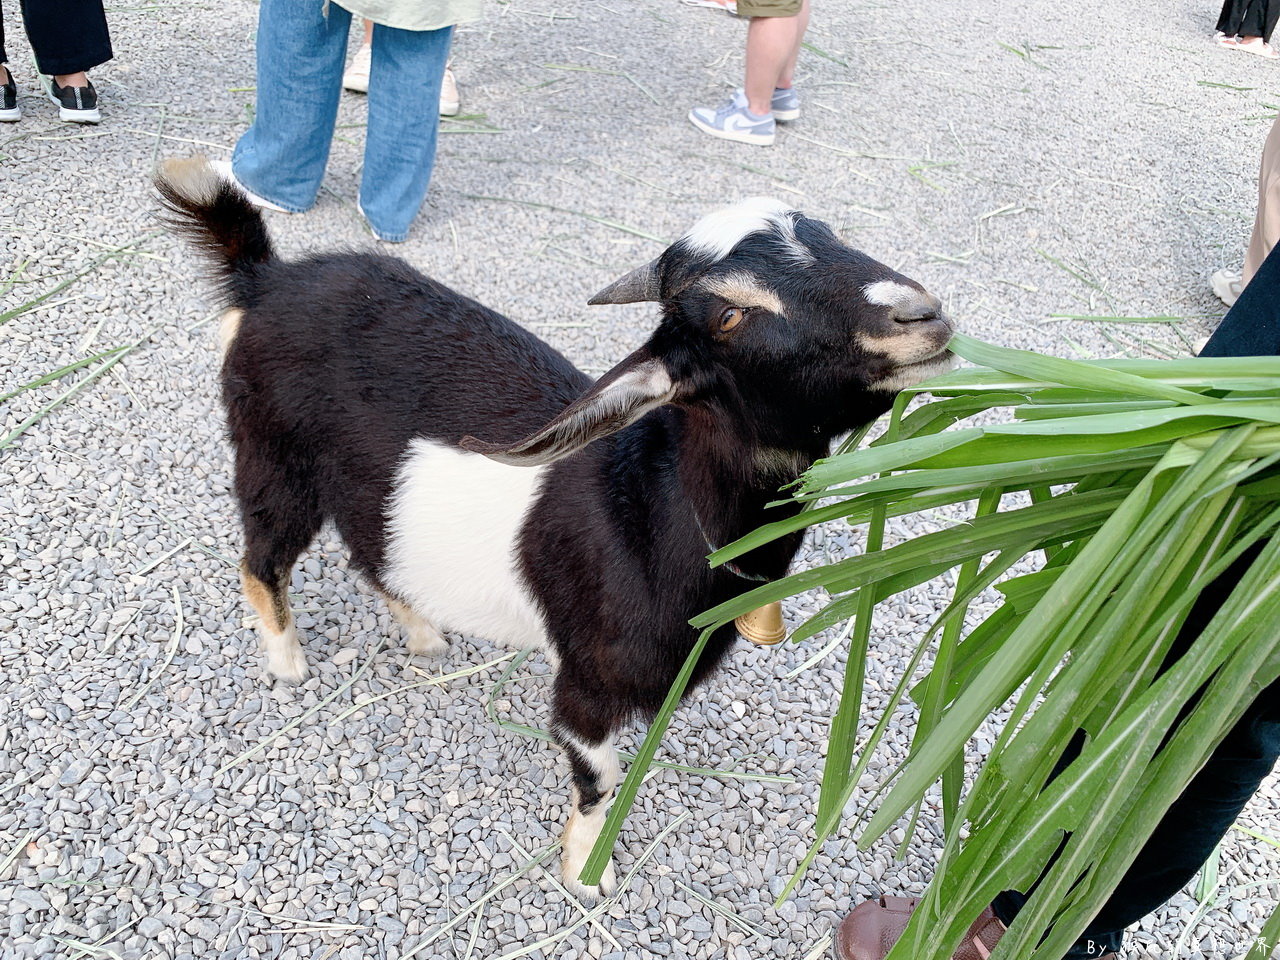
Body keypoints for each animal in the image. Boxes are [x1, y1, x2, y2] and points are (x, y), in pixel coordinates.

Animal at [152, 158, 952, 901]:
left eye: (831, 234)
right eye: (729, 314)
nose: (923, 316)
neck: (645, 506)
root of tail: (265, 281)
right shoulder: (586, 686)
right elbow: (599, 780)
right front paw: (586, 875)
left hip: (361, 485)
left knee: (369, 550)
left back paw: (424, 634)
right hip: (273, 454)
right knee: (261, 558)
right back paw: (288, 663)